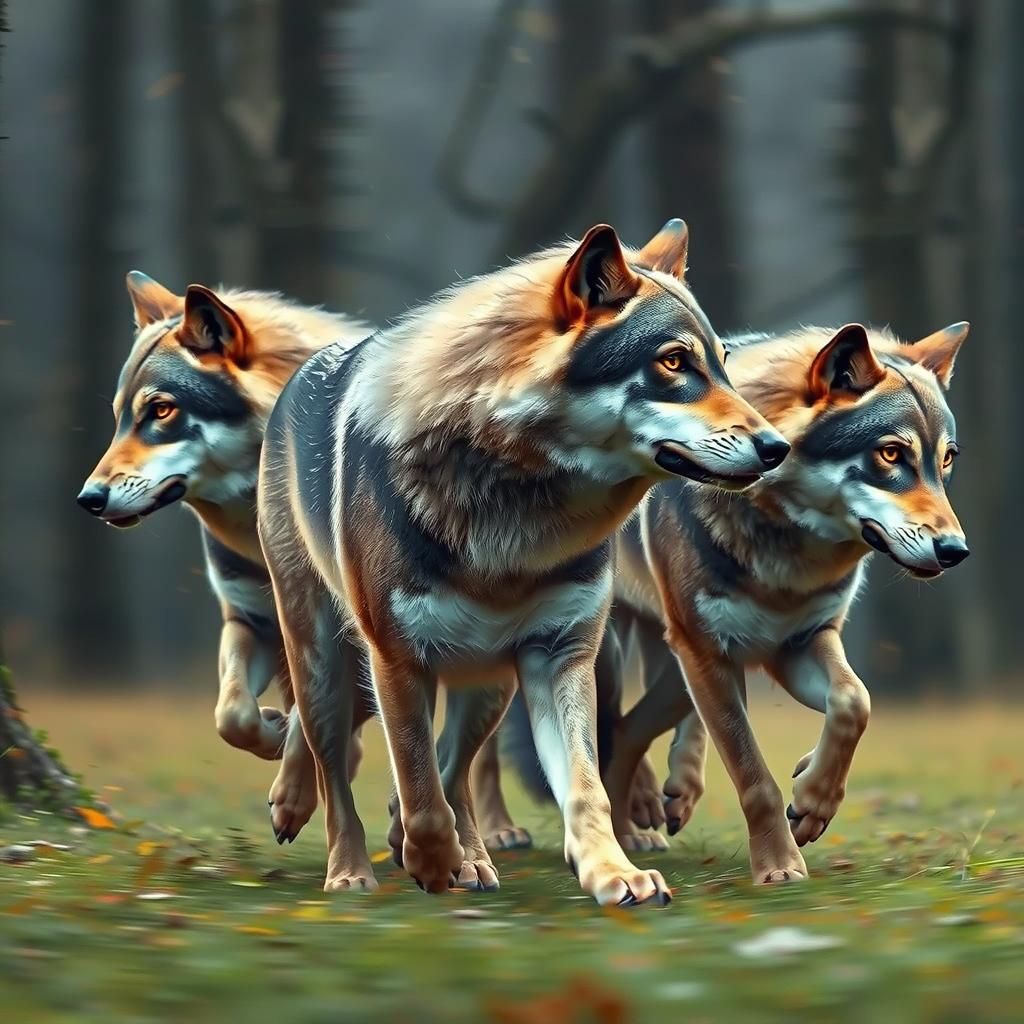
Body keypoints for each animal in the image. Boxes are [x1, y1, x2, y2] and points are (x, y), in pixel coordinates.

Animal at [77, 274, 371, 837]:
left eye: (161, 410)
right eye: (120, 417)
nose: (88, 499)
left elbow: (307, 718)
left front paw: (292, 796)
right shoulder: (247, 620)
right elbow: (232, 715)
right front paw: (274, 734)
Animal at [257, 219, 792, 904]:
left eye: (722, 363)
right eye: (674, 362)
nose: (777, 447)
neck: (517, 515)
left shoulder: (561, 653)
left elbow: (583, 790)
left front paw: (613, 875)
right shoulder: (396, 658)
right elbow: (419, 789)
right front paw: (429, 862)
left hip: (488, 683)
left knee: (456, 766)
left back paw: (472, 859)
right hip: (324, 652)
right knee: (332, 761)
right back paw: (347, 866)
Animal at [600, 321, 970, 882]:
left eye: (945, 459)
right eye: (890, 455)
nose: (955, 551)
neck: (790, 552)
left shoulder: (798, 643)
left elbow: (854, 701)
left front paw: (813, 801)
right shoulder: (707, 652)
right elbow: (754, 779)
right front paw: (778, 867)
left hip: (677, 663)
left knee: (631, 728)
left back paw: (655, 809)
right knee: (600, 729)